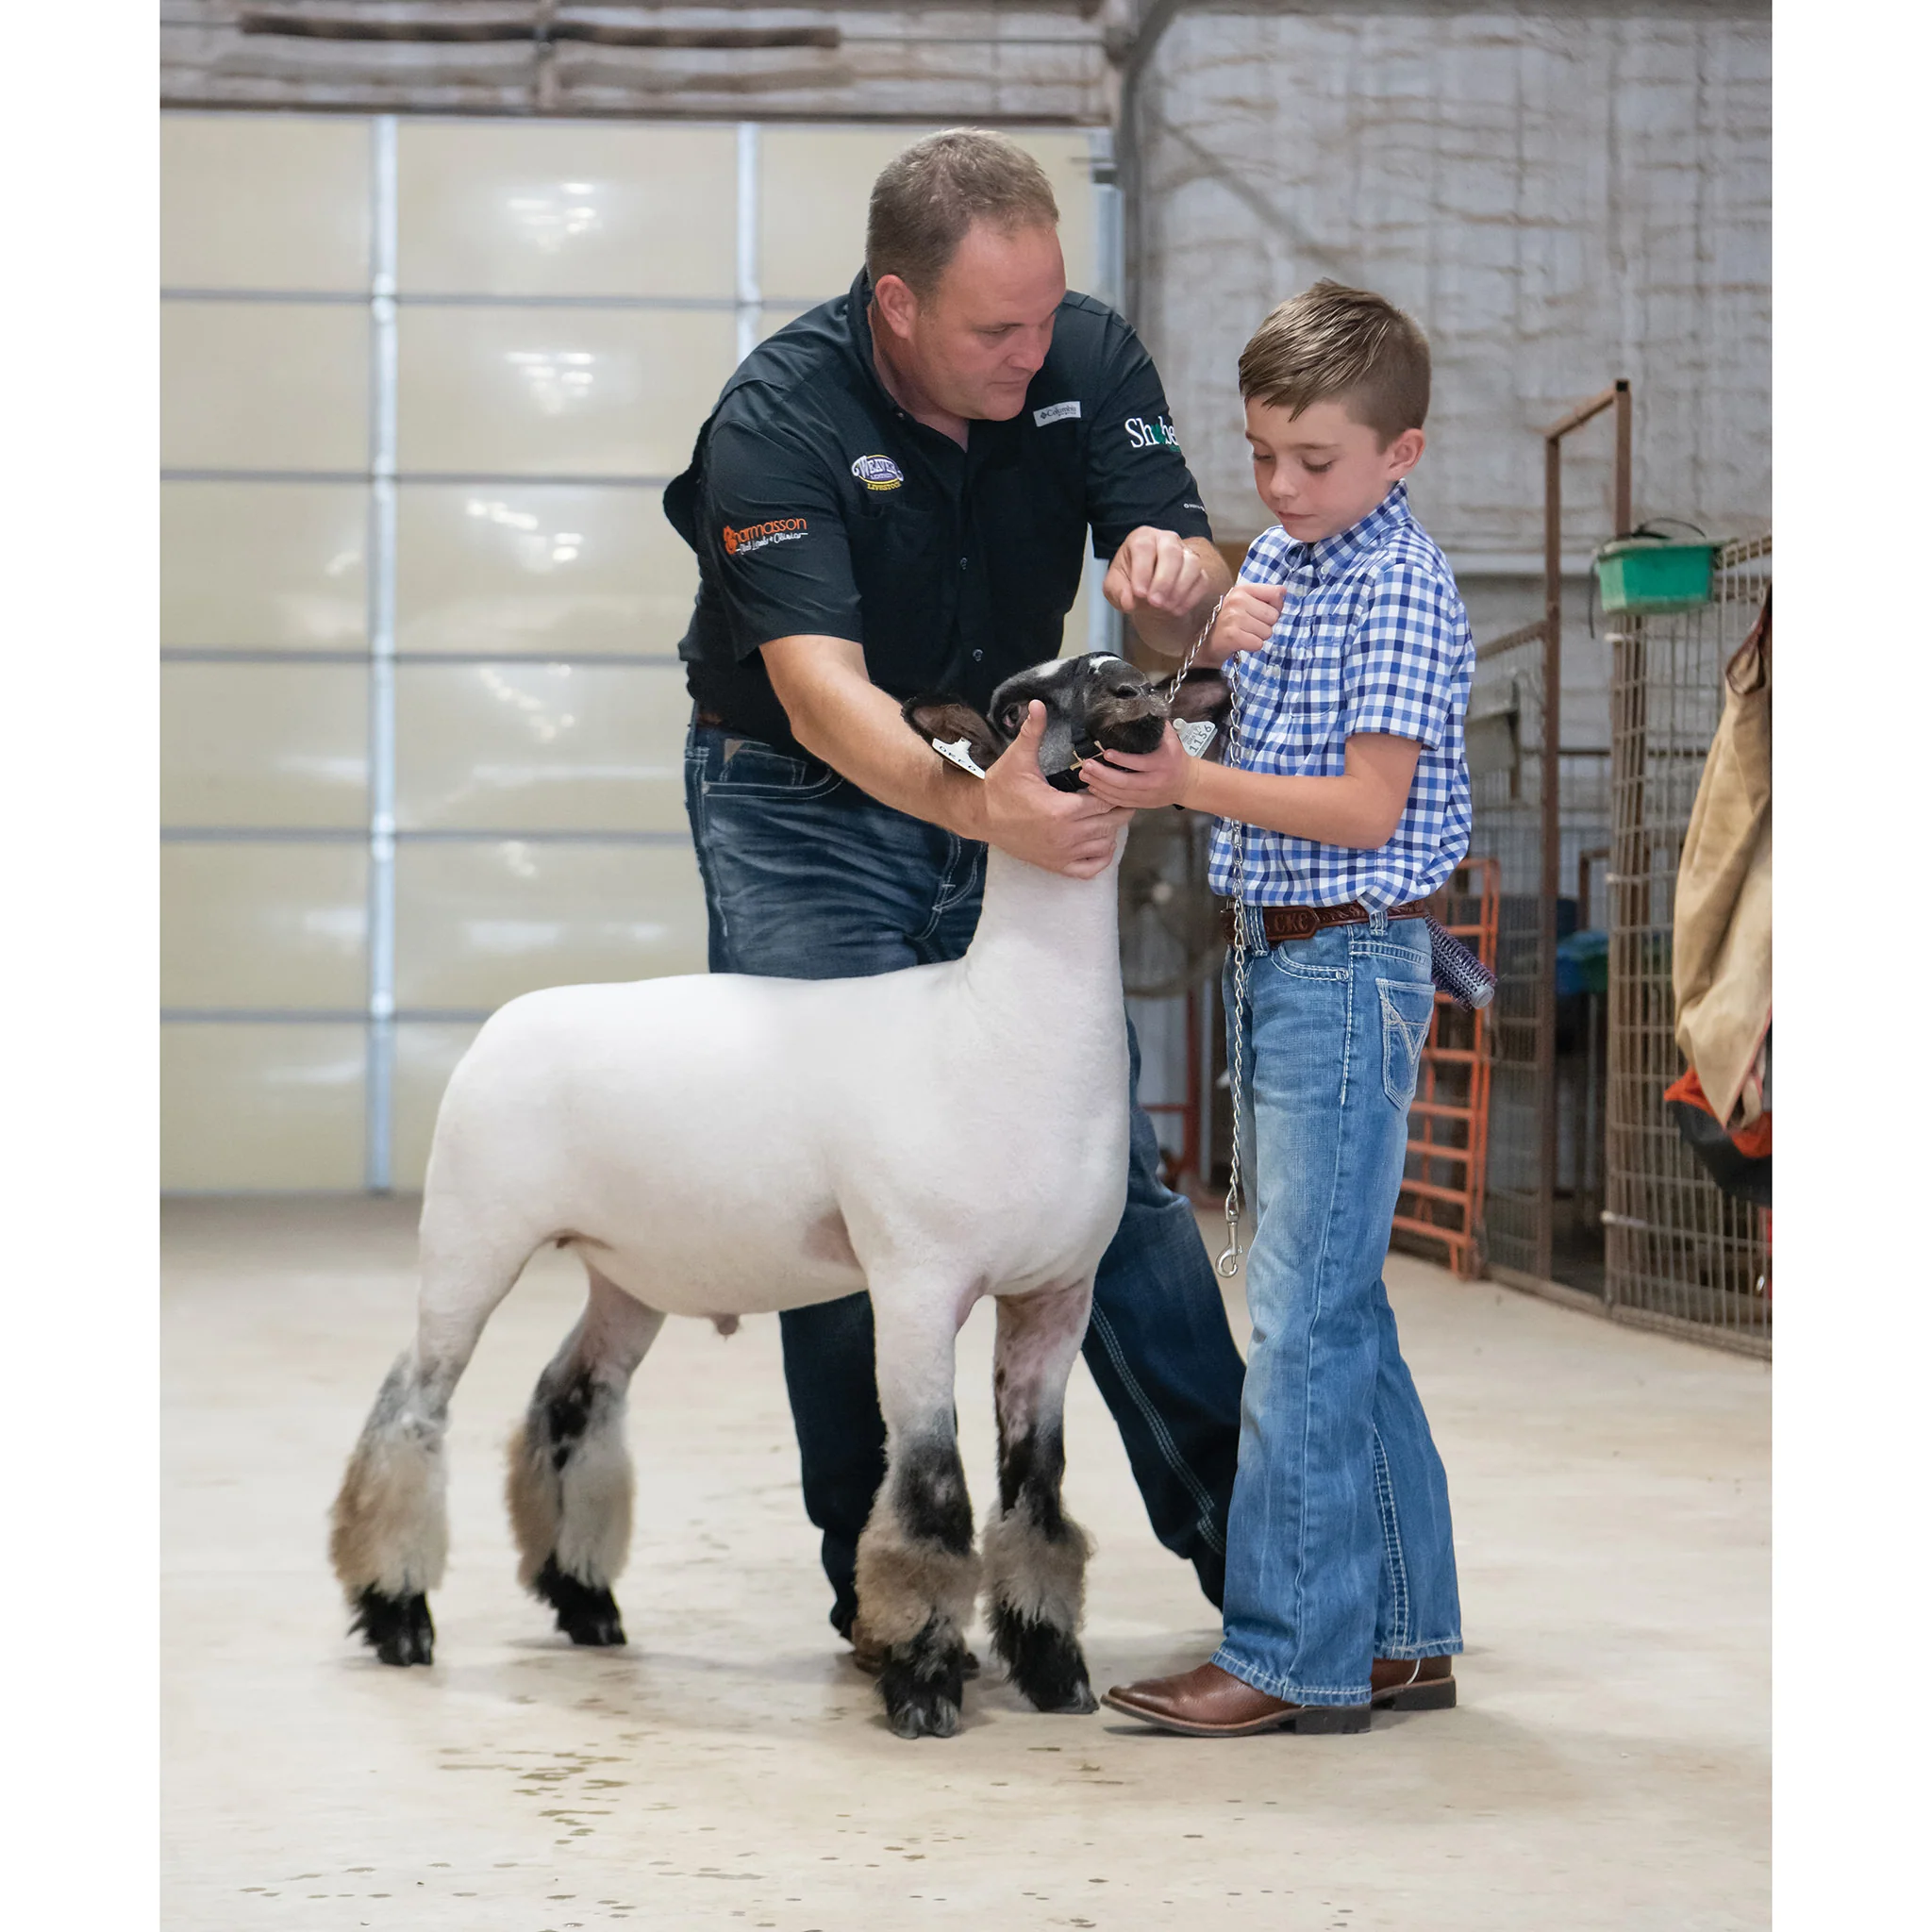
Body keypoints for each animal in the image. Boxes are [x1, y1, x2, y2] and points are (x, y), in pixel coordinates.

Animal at [328, 650, 1192, 1740]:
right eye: (1015, 706)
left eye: (1124, 670)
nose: (1132, 696)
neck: (998, 1025)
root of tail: (507, 1020)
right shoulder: (915, 1286)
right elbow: (932, 1496)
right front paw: (922, 1682)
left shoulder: (1056, 1296)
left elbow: (1036, 1496)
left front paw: (1051, 1666)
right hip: (469, 1234)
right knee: (410, 1408)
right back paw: (399, 1613)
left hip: (629, 1269)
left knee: (571, 1400)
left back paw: (585, 1600)